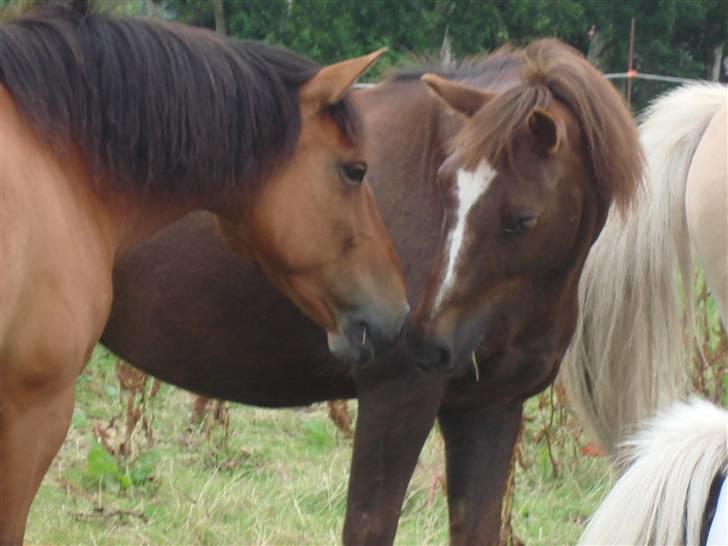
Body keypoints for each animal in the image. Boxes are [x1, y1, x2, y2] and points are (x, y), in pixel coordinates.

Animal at [98, 39, 644, 544]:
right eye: (444, 185)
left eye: (522, 219)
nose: (427, 339)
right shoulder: (397, 400)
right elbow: (369, 525)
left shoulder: (490, 410)